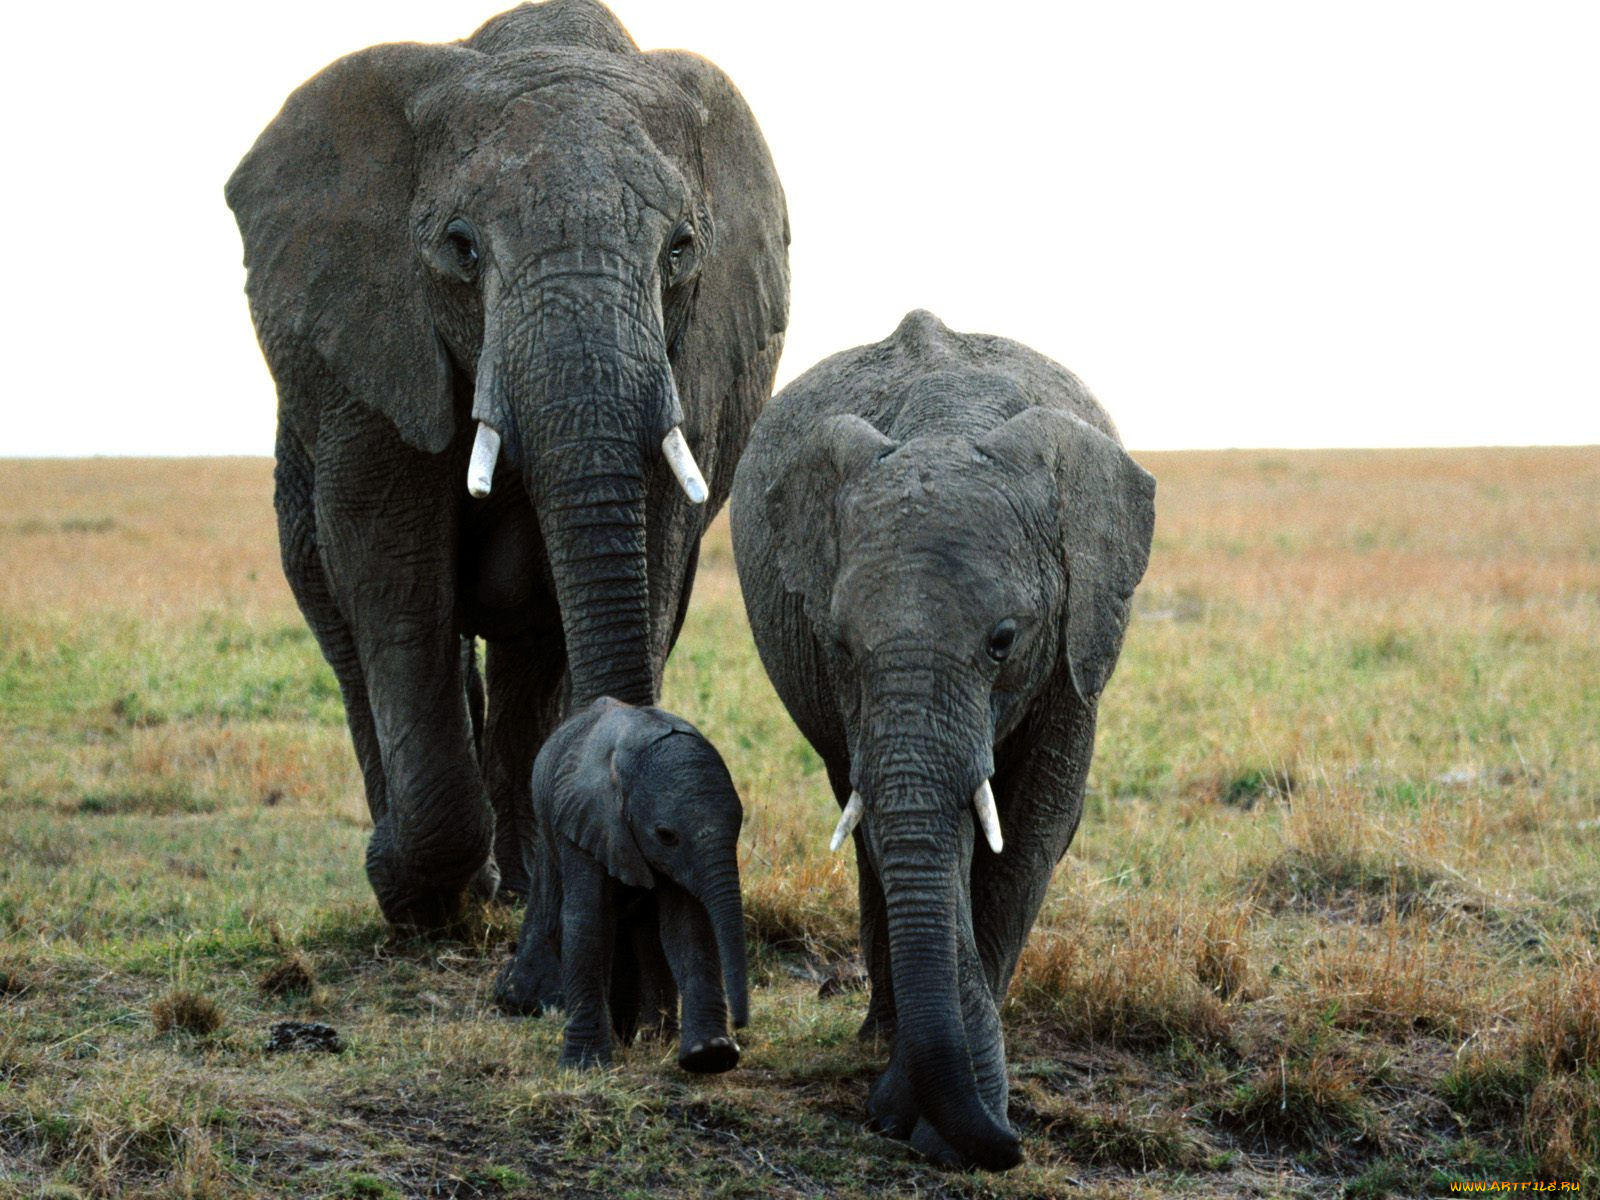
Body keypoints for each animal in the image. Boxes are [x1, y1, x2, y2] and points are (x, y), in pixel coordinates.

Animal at [225, 0, 788, 926]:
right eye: (462, 248)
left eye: (679, 250)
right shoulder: (371, 357)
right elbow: (392, 569)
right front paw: (411, 892)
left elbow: (654, 549)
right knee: (344, 622)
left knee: (533, 649)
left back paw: (522, 882)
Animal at [501, 697, 748, 1073]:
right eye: (665, 835)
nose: (740, 1026)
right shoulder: (583, 820)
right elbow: (587, 922)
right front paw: (584, 1066)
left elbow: (685, 926)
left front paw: (710, 1055)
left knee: (648, 937)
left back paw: (651, 1037)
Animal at [729, 311, 1155, 1170]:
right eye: (841, 645)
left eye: (1002, 640)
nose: (1013, 1148)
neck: (950, 424)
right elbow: (922, 834)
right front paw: (922, 1115)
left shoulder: (1075, 638)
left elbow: (1031, 832)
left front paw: (932, 1121)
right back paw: (880, 1034)